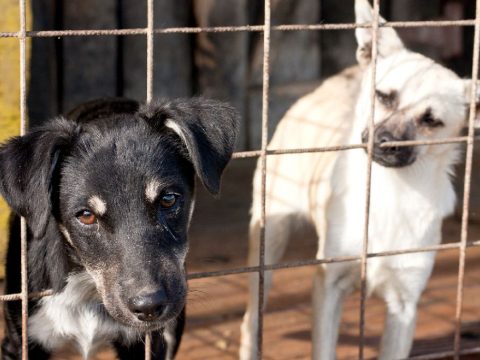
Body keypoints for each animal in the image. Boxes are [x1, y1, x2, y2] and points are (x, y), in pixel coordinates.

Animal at [0, 97, 239, 358]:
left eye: (168, 199)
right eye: (86, 216)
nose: (149, 306)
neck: (87, 286)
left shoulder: (150, 342)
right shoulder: (20, 341)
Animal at [240, 0, 480, 360]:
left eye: (431, 120)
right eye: (384, 96)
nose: (388, 143)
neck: (391, 191)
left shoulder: (404, 304)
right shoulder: (329, 285)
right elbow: (324, 349)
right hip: (268, 245)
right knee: (251, 320)